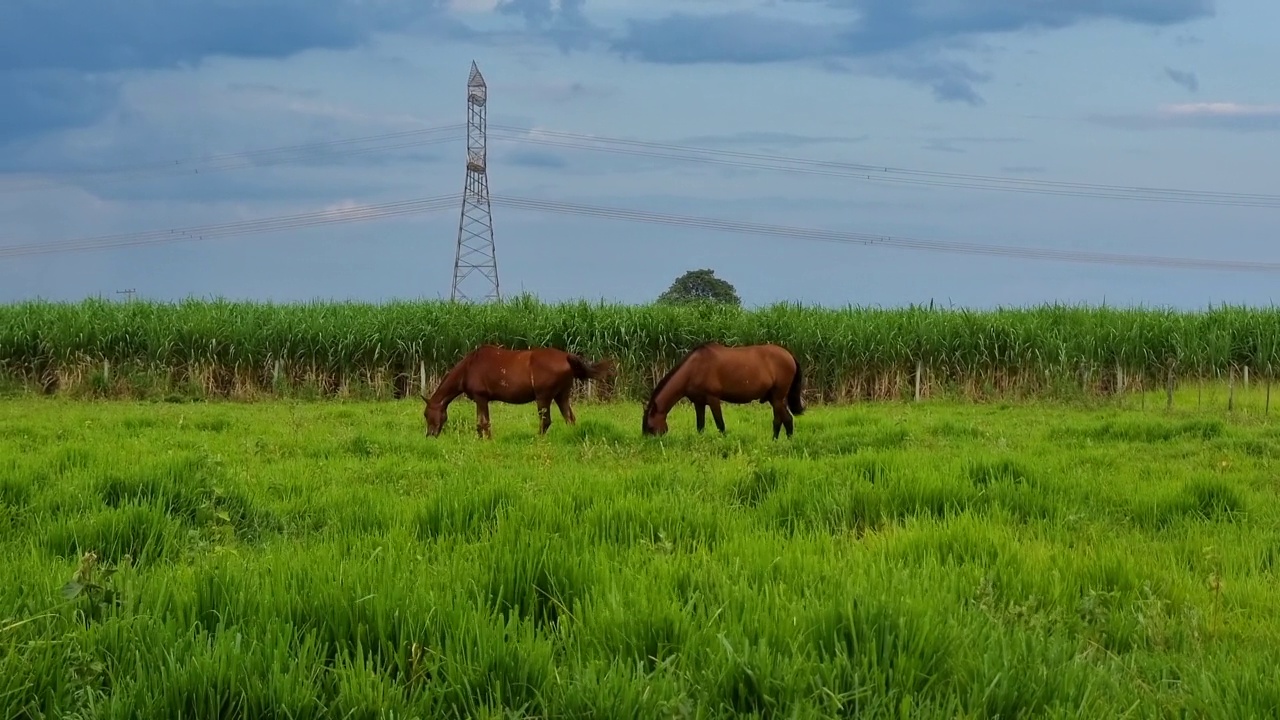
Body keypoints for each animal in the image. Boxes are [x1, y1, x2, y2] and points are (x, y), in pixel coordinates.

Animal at [422, 343, 616, 438]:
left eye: (425, 414)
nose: (430, 435)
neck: (469, 367)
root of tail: (567, 357)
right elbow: (483, 423)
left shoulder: (481, 398)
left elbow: (483, 423)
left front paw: (486, 440)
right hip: (562, 396)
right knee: (570, 419)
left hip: (543, 398)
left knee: (546, 422)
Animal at [640, 340, 808, 438]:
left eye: (650, 427)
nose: (649, 443)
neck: (694, 368)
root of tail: (789, 355)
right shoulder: (699, 402)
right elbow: (700, 426)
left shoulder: (713, 399)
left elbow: (720, 425)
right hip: (774, 398)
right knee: (779, 420)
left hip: (778, 397)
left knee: (787, 419)